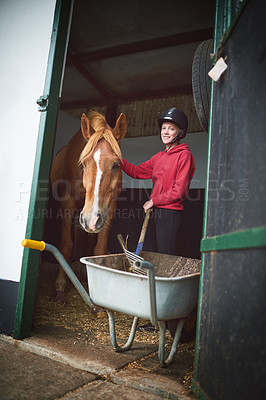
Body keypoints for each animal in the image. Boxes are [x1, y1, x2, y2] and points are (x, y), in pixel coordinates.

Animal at [51, 111, 128, 302]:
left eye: (116, 164)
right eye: (83, 163)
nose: (91, 219)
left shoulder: (109, 207)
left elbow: (99, 249)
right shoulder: (67, 202)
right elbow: (65, 246)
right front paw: (60, 287)